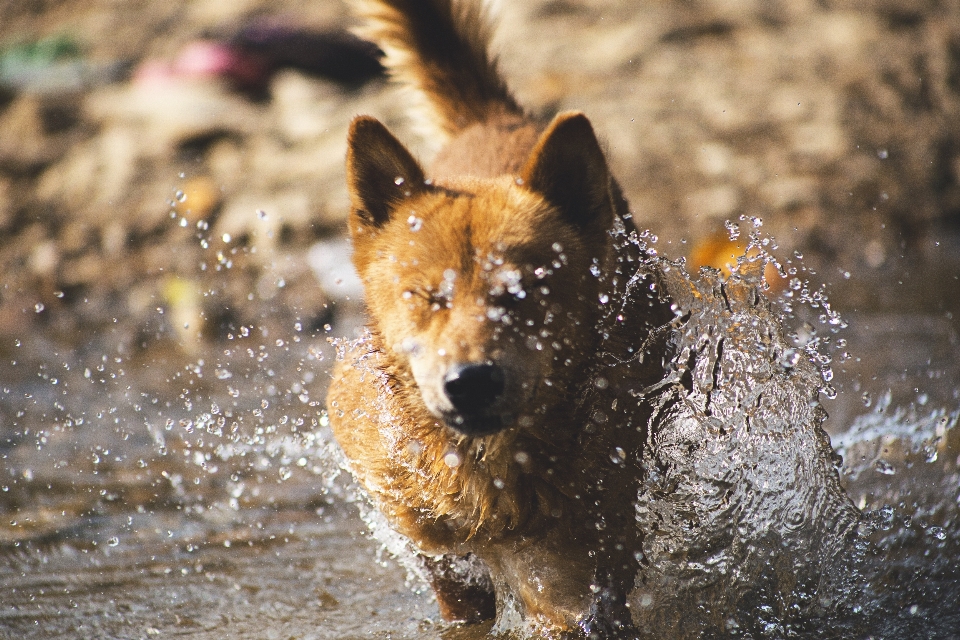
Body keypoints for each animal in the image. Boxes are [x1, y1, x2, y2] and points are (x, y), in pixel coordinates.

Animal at [326, 1, 680, 636]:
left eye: (523, 291)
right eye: (427, 296)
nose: (470, 382)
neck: (490, 475)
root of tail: (497, 122)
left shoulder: (583, 565)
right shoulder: (430, 542)